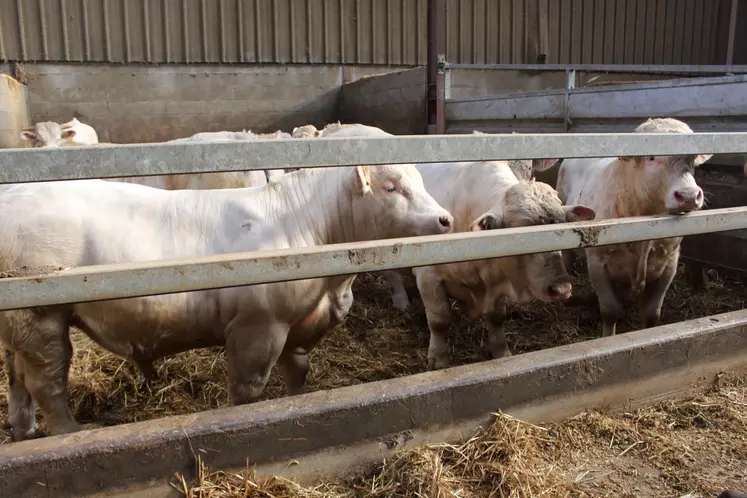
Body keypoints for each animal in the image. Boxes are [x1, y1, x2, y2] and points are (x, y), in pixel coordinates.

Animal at [0, 161, 452, 438]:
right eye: (392, 186)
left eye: (421, 181)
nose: (446, 218)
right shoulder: (258, 327)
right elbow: (247, 390)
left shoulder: (297, 326)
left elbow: (298, 374)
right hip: (38, 317)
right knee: (47, 385)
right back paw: (70, 433)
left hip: (18, 327)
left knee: (17, 379)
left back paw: (24, 431)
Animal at [560, 117, 712, 336]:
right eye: (651, 157)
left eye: (692, 160)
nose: (689, 195)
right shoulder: (598, 264)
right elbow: (610, 311)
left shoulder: (669, 265)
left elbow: (651, 314)